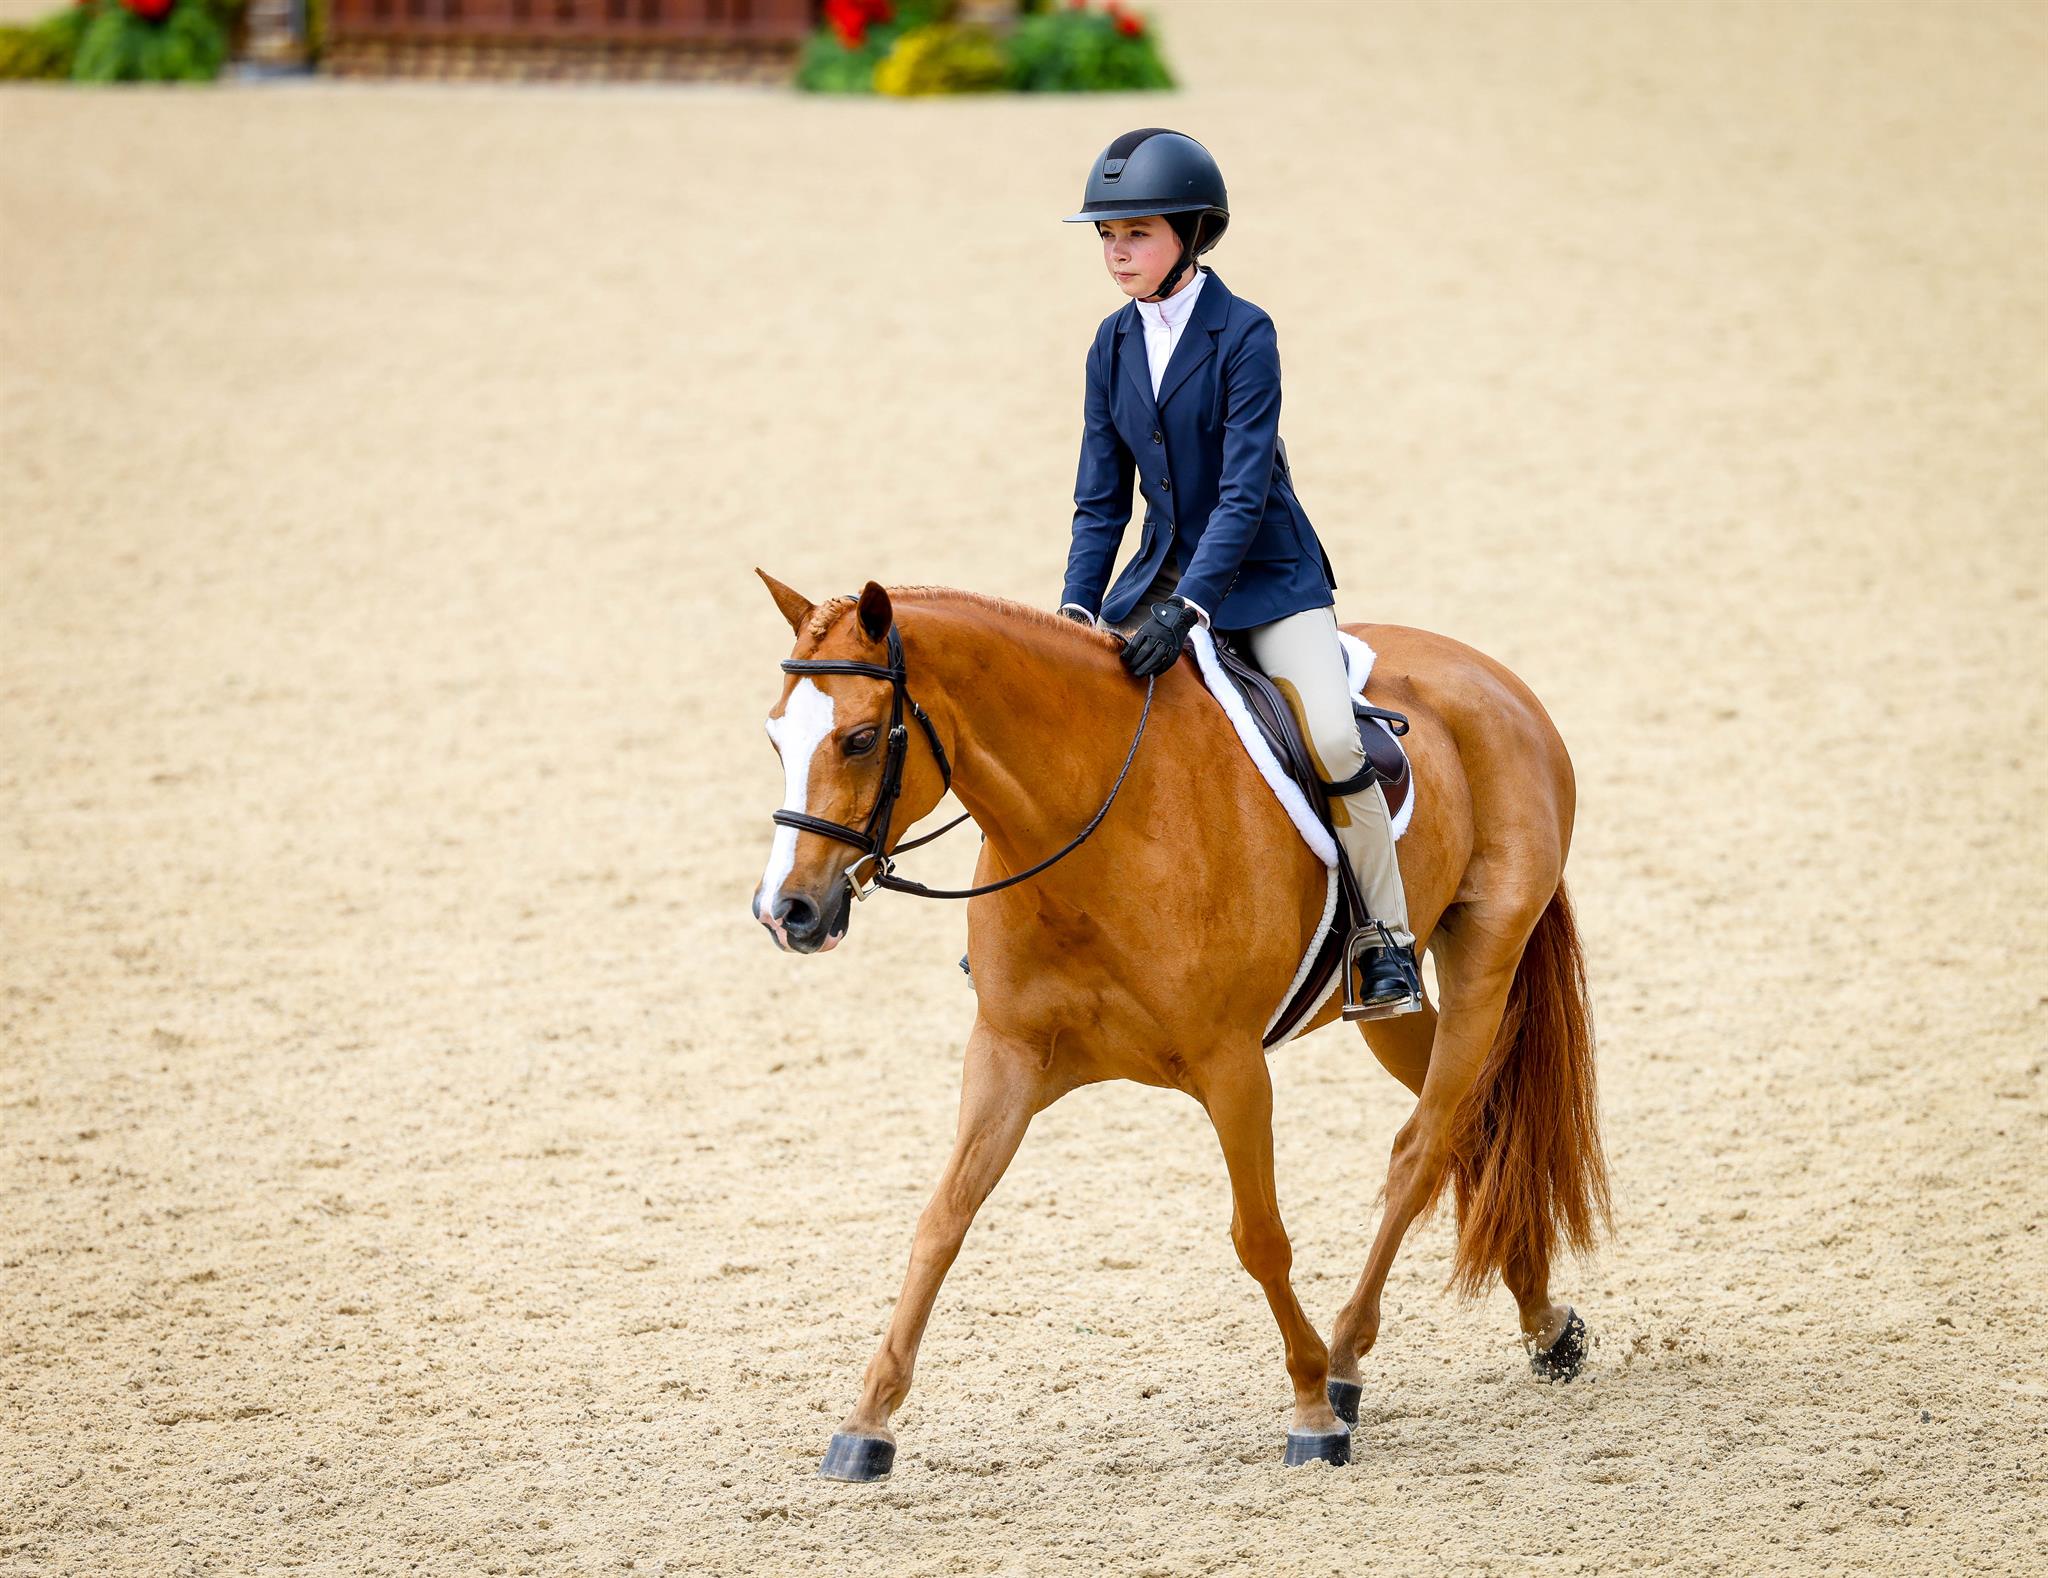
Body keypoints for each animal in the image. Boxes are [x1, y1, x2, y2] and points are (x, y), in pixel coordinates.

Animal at [750, 572, 1610, 1478]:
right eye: (776, 740)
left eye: (859, 739)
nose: (787, 913)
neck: (1088, 828)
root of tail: (1494, 677)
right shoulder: (1007, 1057)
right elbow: (941, 1222)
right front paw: (867, 1424)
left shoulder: (1231, 1067)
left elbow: (1259, 1237)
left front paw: (1310, 1408)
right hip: (1384, 1010)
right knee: (1477, 1124)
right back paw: (1545, 1322)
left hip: (1485, 956)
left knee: (1423, 1145)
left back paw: (1346, 1359)